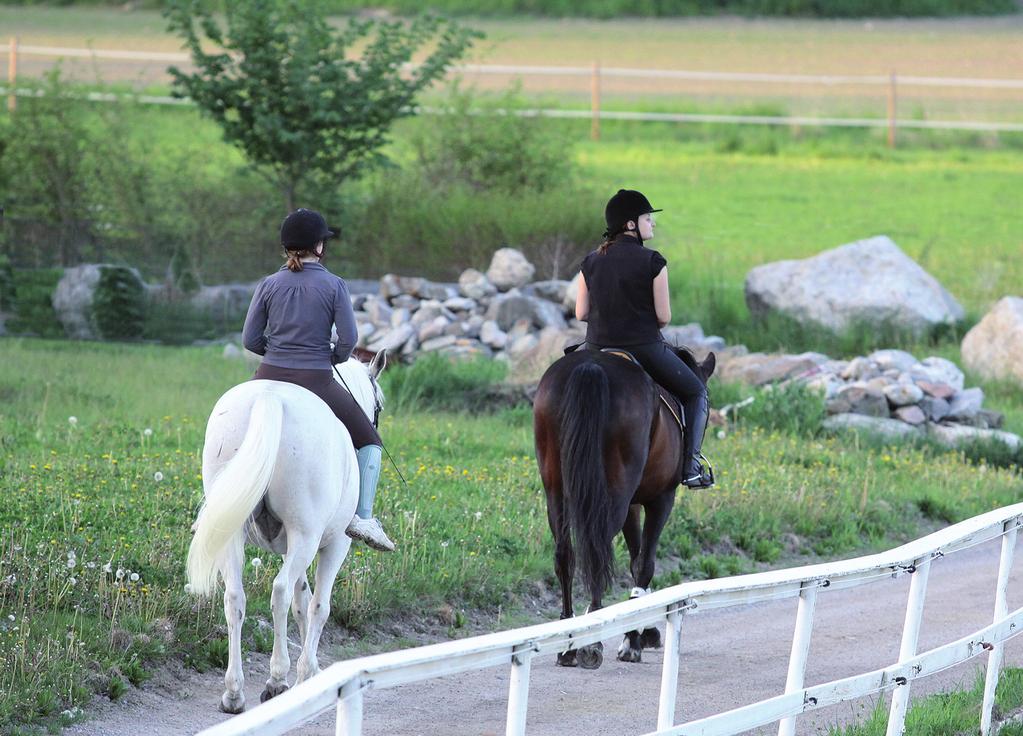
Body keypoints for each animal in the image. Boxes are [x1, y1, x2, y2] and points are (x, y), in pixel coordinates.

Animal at [184, 354, 384, 712]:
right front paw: (308, 673)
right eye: (379, 407)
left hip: (236, 535)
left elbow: (302, 601)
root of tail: (271, 398)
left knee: (235, 597)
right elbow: (318, 605)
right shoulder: (334, 544)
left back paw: (234, 693)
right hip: (306, 535)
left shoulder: (294, 548)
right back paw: (276, 679)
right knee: (279, 592)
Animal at [536, 345, 712, 667]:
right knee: (597, 546)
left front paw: (643, 631)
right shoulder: (661, 499)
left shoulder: (631, 504)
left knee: (565, 553)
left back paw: (568, 644)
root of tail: (592, 366)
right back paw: (591, 640)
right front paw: (633, 640)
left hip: (556, 489)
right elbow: (644, 562)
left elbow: (633, 559)